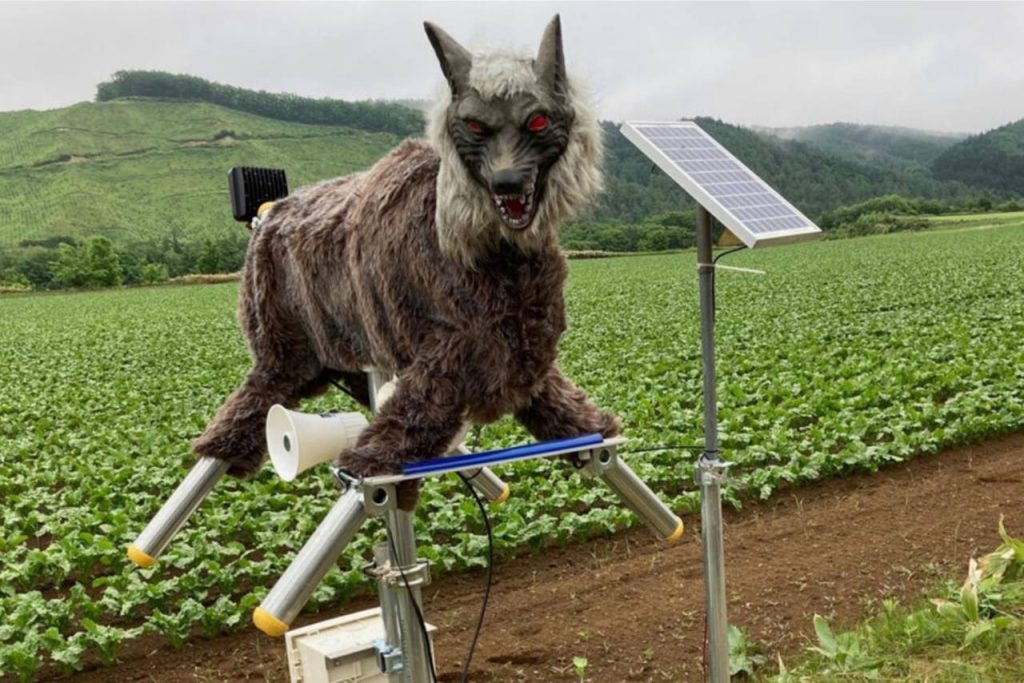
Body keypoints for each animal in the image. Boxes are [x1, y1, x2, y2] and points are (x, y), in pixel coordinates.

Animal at [192, 16, 619, 507]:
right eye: (474, 126)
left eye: (537, 120)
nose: (507, 181)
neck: (494, 257)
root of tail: (268, 215)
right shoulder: (449, 352)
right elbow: (412, 419)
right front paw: (371, 466)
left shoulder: (520, 353)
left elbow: (557, 403)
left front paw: (592, 426)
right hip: (280, 345)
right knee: (257, 395)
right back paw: (219, 448)